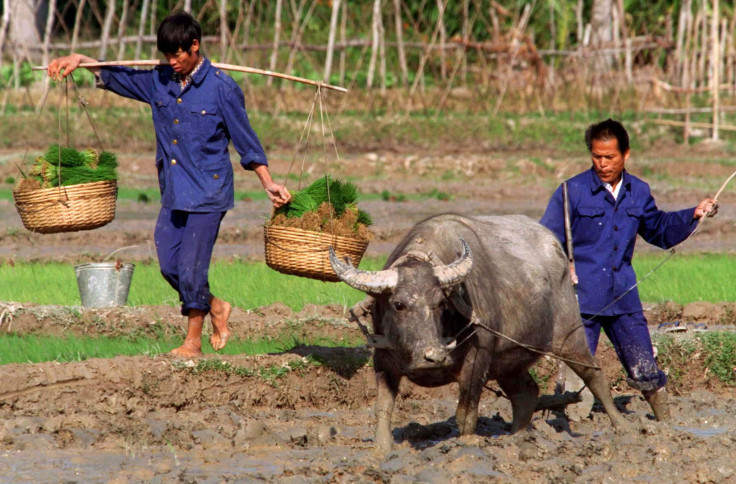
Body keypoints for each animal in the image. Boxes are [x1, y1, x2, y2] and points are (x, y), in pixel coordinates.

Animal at [332, 214, 628, 452]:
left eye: (441, 303)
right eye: (398, 304)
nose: (433, 357)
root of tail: (556, 248)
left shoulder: (478, 360)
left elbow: (466, 412)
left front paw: (464, 444)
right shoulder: (383, 359)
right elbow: (383, 407)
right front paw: (382, 449)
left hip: (570, 334)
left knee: (593, 373)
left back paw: (621, 427)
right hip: (510, 360)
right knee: (526, 392)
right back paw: (516, 437)